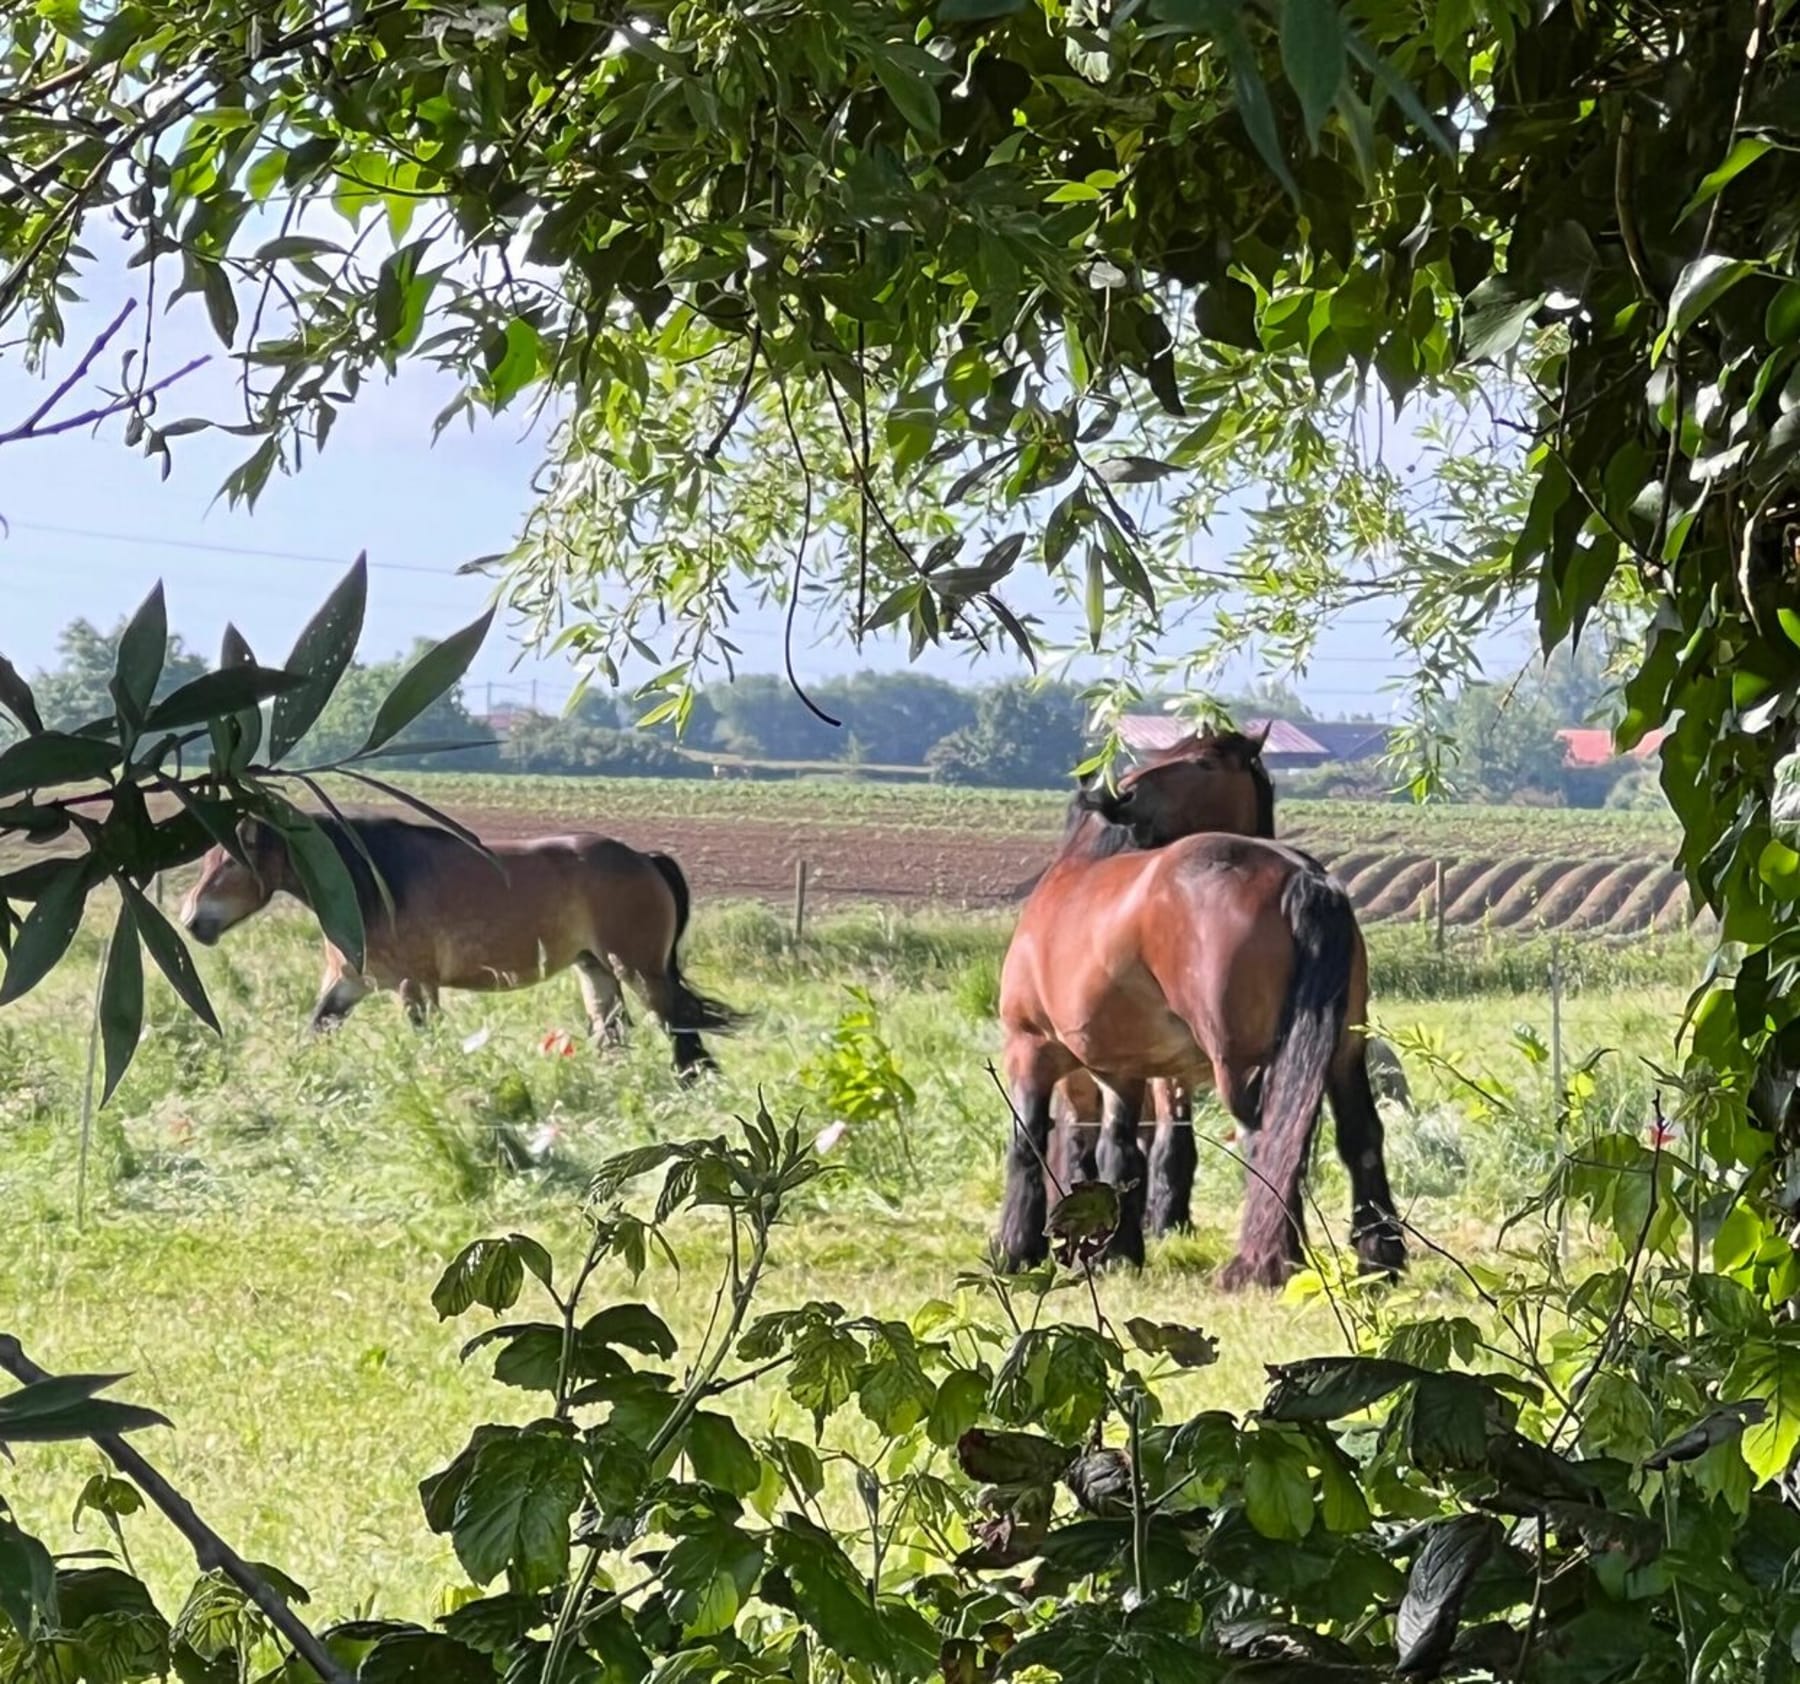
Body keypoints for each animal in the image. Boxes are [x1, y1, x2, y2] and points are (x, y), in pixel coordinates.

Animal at [179, 816, 741, 1079]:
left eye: (230, 861)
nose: (190, 920)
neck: (372, 885)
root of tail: (645, 858)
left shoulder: (416, 986)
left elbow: (426, 1040)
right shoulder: (348, 984)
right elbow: (315, 1029)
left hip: (639, 970)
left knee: (680, 1034)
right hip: (596, 971)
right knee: (614, 1036)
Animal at [1000, 723, 1404, 1288]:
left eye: (1203, 762)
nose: (1122, 792)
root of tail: (1305, 878)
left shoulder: (1031, 1048)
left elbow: (1030, 1142)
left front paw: (1015, 1250)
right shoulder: (1123, 1067)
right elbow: (1119, 1153)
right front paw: (1118, 1252)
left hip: (1240, 1061)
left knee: (1268, 1139)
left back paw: (1267, 1261)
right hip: (1344, 1052)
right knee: (1357, 1135)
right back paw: (1378, 1259)